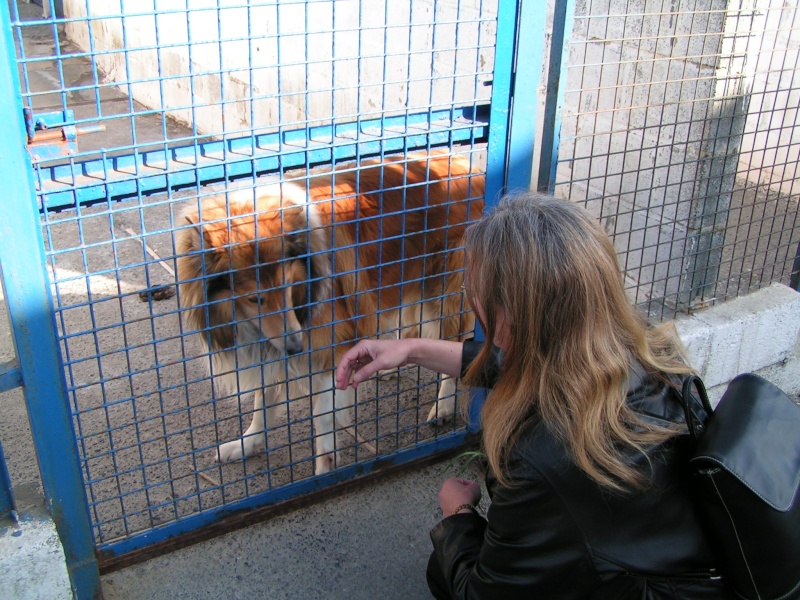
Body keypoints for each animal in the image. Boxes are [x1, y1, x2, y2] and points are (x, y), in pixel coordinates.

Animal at [177, 150, 484, 474]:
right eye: (255, 299)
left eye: (288, 285)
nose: (296, 347)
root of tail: (463, 160)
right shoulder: (270, 348)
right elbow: (262, 404)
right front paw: (246, 444)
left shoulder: (329, 348)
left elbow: (323, 420)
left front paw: (324, 471)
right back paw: (386, 365)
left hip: (446, 290)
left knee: (452, 343)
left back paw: (443, 406)